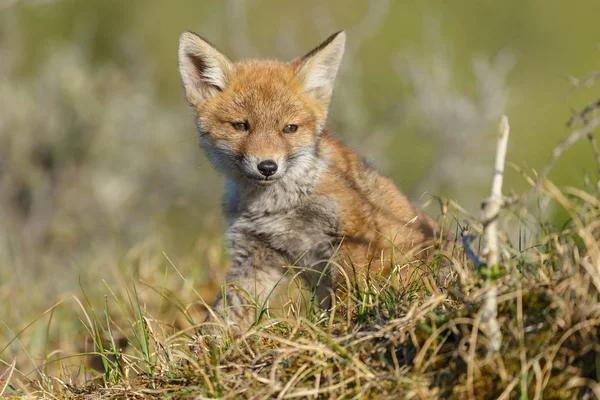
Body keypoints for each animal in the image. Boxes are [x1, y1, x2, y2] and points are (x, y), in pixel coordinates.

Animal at [178, 28, 440, 328]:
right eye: (241, 126)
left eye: (290, 128)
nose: (267, 166)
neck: (279, 207)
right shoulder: (254, 255)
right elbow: (224, 315)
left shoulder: (353, 240)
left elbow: (351, 297)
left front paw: (342, 328)